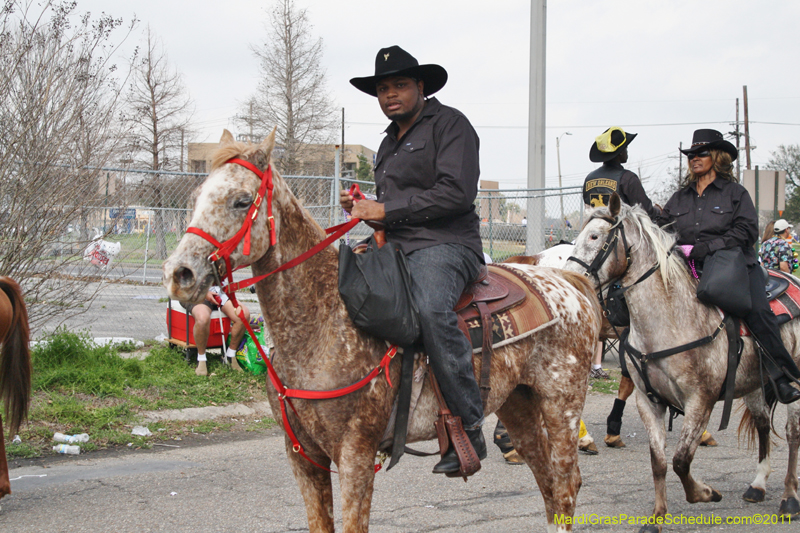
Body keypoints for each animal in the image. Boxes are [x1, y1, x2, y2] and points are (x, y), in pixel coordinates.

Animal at [162, 130, 600, 532]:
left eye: (240, 200)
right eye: (197, 196)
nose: (179, 273)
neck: (322, 323)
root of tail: (566, 282)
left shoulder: (355, 454)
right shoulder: (303, 456)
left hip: (560, 406)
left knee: (565, 486)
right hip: (518, 405)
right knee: (548, 485)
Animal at [564, 196, 800, 532]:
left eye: (595, 237)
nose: (567, 278)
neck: (671, 319)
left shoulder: (701, 401)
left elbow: (681, 459)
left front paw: (705, 493)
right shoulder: (648, 402)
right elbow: (660, 461)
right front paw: (657, 517)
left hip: (792, 383)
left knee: (792, 434)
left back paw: (789, 498)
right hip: (755, 385)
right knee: (763, 424)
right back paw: (758, 485)